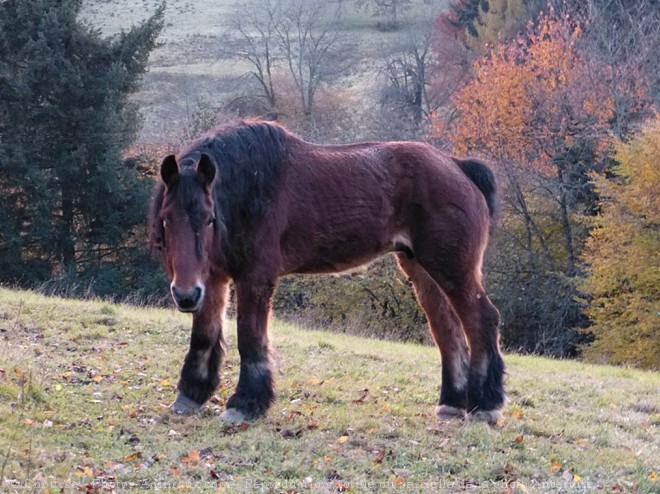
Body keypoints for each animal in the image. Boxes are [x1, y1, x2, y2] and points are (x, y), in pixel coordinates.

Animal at [147, 118, 502, 424]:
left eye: (209, 218)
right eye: (166, 219)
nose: (184, 296)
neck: (250, 187)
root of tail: (458, 166)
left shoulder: (255, 278)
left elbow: (250, 337)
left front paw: (246, 404)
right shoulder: (212, 278)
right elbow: (204, 334)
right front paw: (192, 394)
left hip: (453, 269)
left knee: (481, 320)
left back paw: (486, 405)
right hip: (422, 270)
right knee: (448, 331)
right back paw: (451, 404)